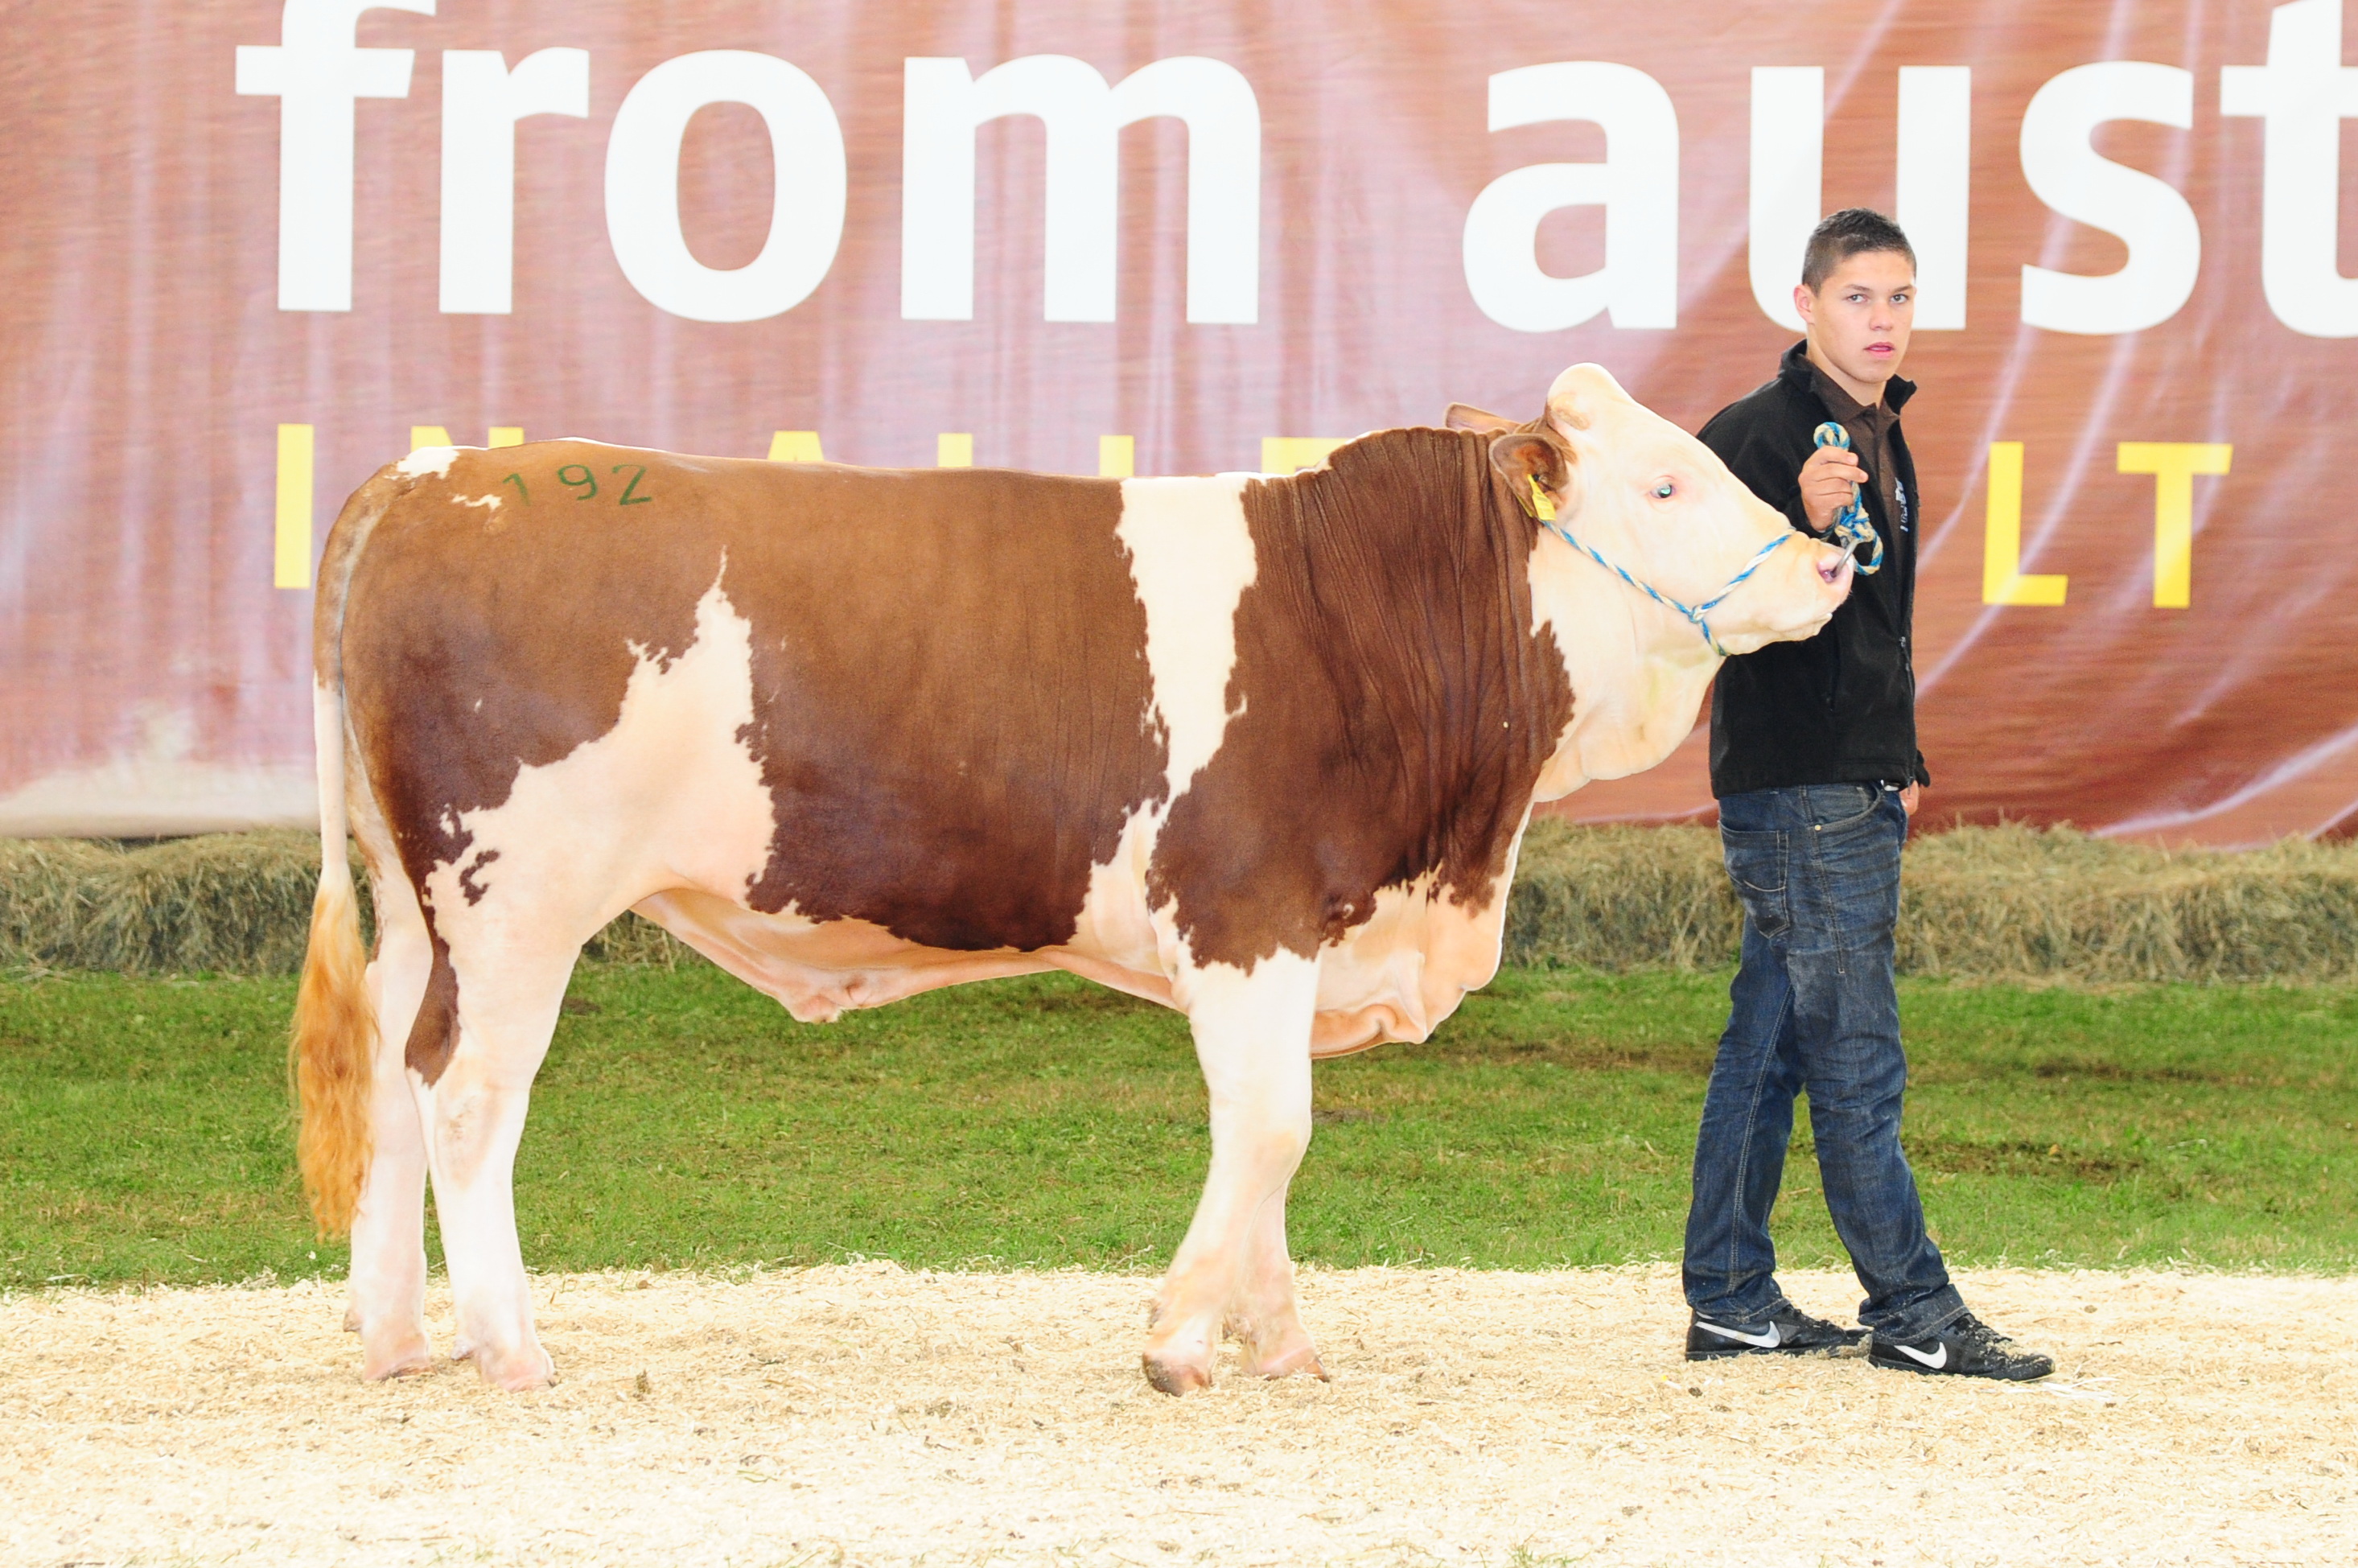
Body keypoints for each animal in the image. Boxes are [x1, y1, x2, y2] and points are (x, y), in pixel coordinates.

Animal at [290, 363, 1839, 1396]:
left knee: (393, 1070)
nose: (1830, 558)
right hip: (517, 899)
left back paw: (396, 1336)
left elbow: (1270, 1143)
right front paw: (1176, 1340)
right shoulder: (1245, 913)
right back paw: (510, 1345)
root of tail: (438, 472)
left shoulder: (1294, 939)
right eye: (1666, 480)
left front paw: (1275, 1342)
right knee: (466, 1093)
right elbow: (1272, 1128)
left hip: (420, 903)